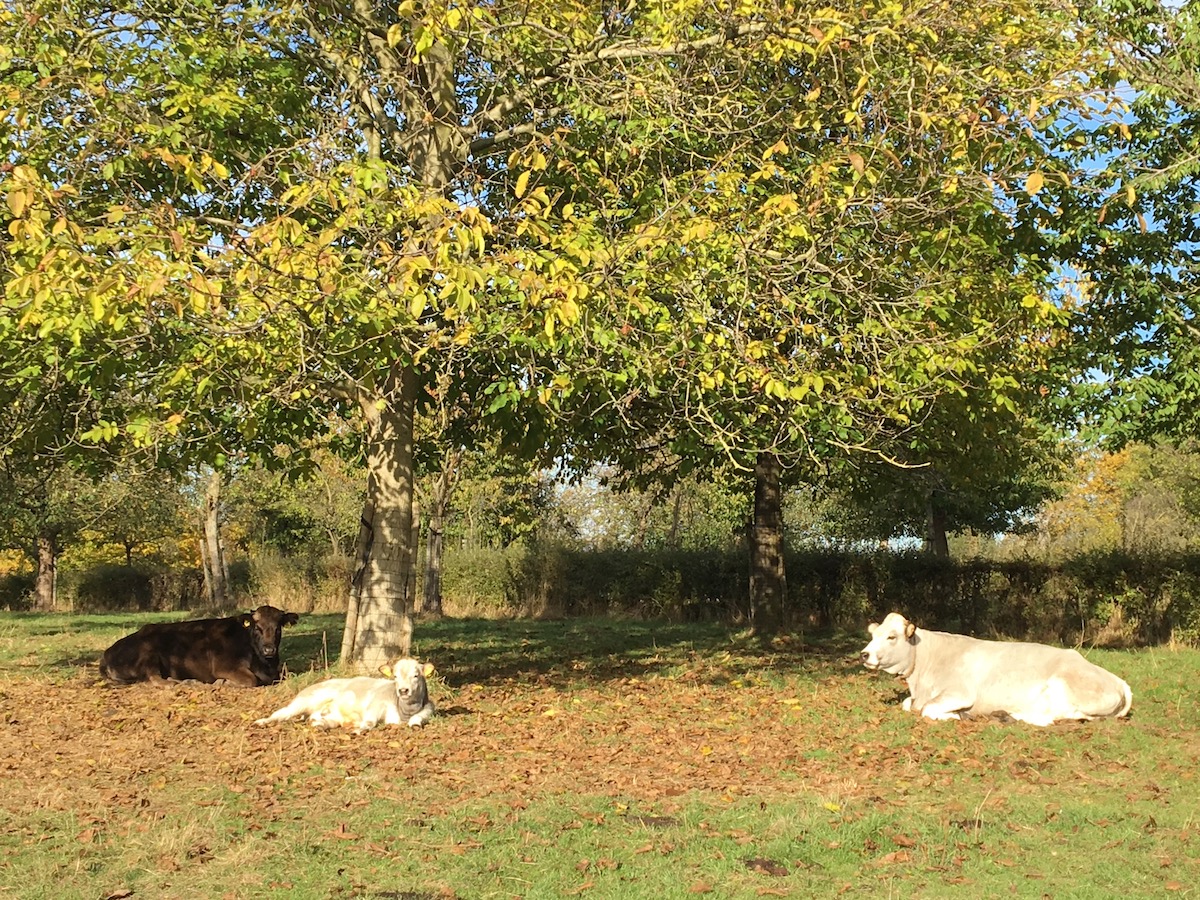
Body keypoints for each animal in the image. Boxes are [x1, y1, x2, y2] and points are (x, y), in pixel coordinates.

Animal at [99, 605, 300, 687]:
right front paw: (224, 682)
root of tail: (107, 652)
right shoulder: (224, 666)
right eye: (257, 627)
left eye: (278, 628)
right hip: (148, 654)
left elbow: (286, 674)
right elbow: (251, 680)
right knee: (154, 679)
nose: (269, 649)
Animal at [254, 659, 436, 731]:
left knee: (322, 720)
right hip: (305, 700)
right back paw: (261, 721)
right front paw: (360, 729)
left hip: (332, 714)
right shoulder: (375, 703)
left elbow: (418, 719)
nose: (403, 690)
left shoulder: (429, 709)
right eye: (395, 676)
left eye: (416, 675)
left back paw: (320, 725)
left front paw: (415, 723)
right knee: (281, 713)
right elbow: (369, 722)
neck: (403, 712)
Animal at [860, 612, 1133, 726]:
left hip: (1062, 687)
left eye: (892, 637)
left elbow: (927, 710)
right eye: (873, 635)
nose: (864, 654)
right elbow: (908, 704)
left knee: (1056, 716)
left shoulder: (960, 693)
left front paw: (957, 716)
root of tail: (1118, 681)